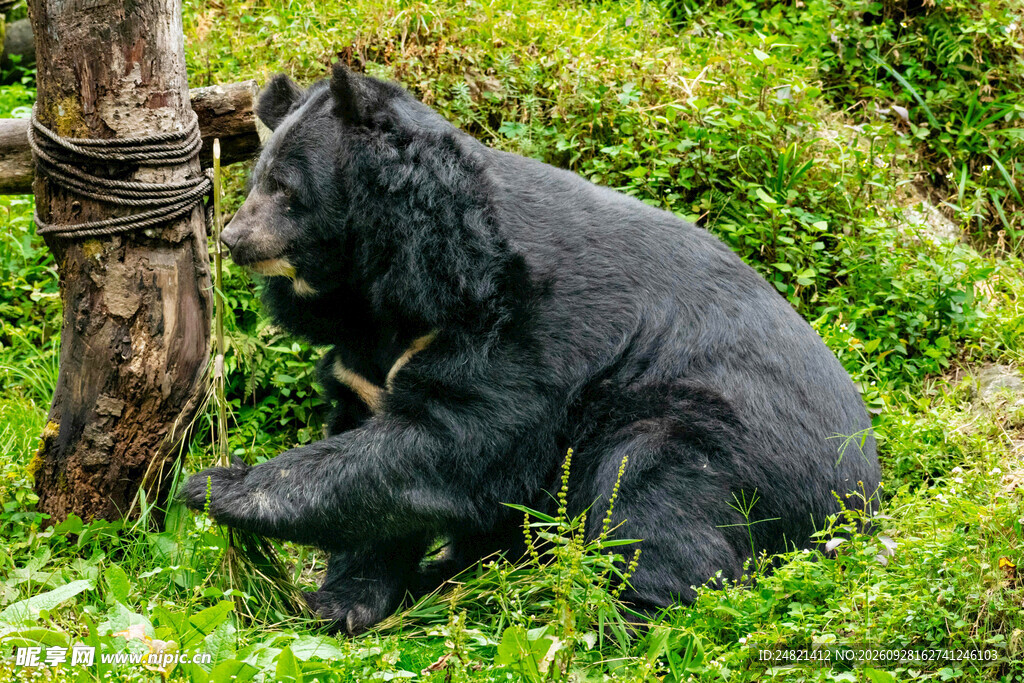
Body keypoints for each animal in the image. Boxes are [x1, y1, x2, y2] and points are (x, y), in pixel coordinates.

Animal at [182, 63, 880, 635]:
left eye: (285, 188)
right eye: (255, 179)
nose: (232, 239)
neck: (397, 275)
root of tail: (864, 503)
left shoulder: (523, 328)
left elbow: (448, 444)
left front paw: (220, 486)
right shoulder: (367, 360)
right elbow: (376, 452)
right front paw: (341, 601)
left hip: (719, 441)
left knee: (655, 506)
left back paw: (613, 613)